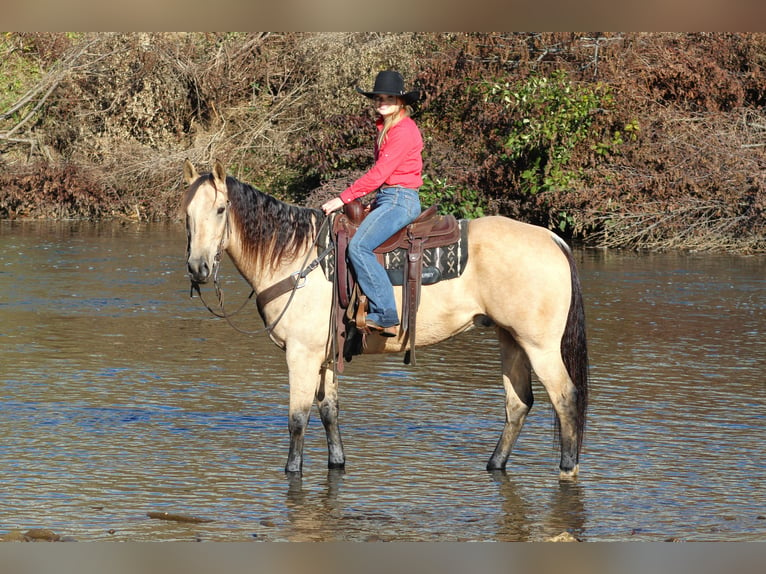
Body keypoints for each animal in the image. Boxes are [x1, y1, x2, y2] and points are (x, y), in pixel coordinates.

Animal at [183, 160, 592, 480]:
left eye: (220, 209)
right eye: (187, 215)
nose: (198, 268)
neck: (297, 258)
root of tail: (554, 239)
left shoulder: (302, 354)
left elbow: (297, 419)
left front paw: (291, 470)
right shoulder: (324, 355)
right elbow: (329, 411)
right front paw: (337, 461)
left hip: (540, 346)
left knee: (565, 397)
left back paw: (567, 468)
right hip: (510, 339)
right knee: (518, 404)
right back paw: (495, 464)